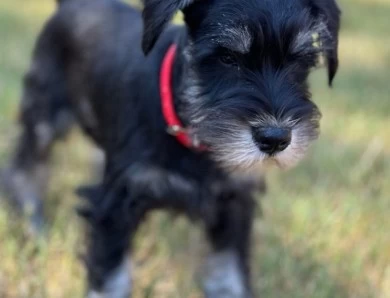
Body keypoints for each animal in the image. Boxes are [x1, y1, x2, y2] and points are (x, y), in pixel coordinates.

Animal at [1, 0, 340, 296]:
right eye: (227, 58)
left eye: (301, 61)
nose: (275, 139)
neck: (194, 132)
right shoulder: (116, 207)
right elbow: (111, 280)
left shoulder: (235, 204)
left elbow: (228, 276)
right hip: (45, 115)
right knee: (25, 167)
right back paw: (33, 225)